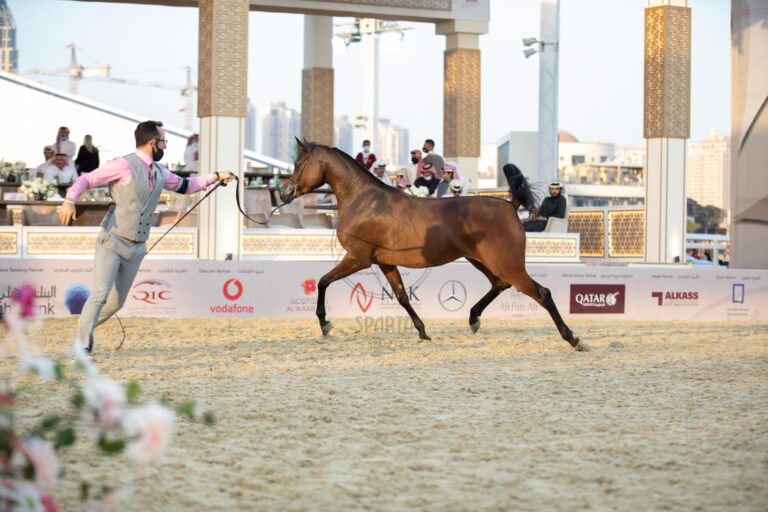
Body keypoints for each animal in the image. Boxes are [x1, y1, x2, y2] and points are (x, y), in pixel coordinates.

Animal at [281, 140, 584, 351]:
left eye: (298, 164)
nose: (284, 192)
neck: (365, 200)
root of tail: (510, 205)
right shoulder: (385, 262)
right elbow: (402, 297)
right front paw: (423, 331)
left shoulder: (358, 258)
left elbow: (323, 282)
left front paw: (325, 324)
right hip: (481, 260)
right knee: (500, 284)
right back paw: (473, 319)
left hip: (507, 264)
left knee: (541, 293)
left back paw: (573, 339)